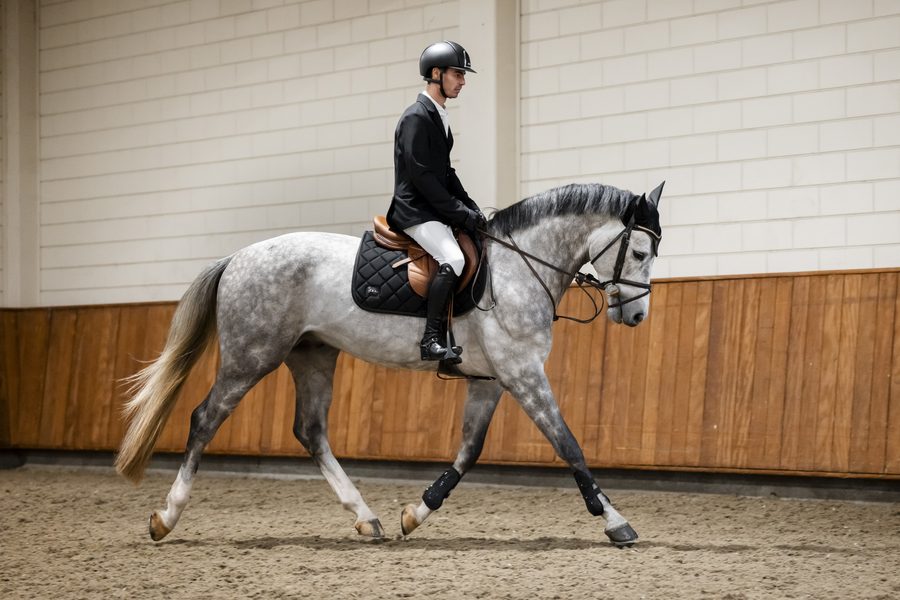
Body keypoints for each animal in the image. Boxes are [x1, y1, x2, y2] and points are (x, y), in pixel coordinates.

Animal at [115, 181, 665, 547]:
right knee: (205, 418)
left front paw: (415, 514)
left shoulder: (491, 379)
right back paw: (166, 517)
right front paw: (616, 522)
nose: (637, 316)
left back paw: (366, 517)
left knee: (310, 430)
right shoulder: (523, 373)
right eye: (639, 251)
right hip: (252, 357)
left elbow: (468, 451)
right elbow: (568, 444)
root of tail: (238, 257)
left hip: (313, 355)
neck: (518, 267)